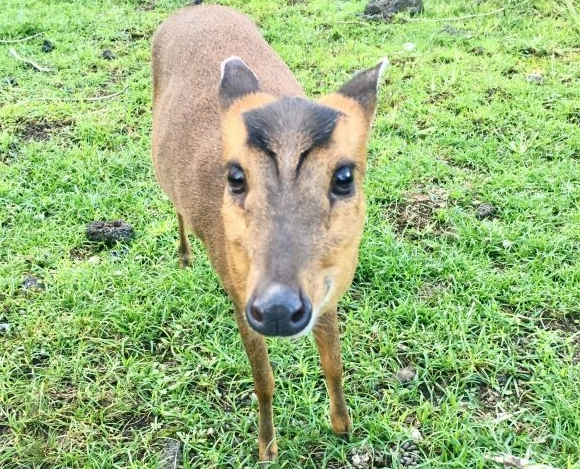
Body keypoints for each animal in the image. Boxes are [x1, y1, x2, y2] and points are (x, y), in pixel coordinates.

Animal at [151, 1, 386, 458]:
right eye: (235, 177)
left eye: (344, 176)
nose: (277, 309)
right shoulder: (238, 293)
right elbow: (264, 381)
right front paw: (267, 448)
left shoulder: (328, 291)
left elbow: (335, 364)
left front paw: (343, 427)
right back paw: (185, 256)